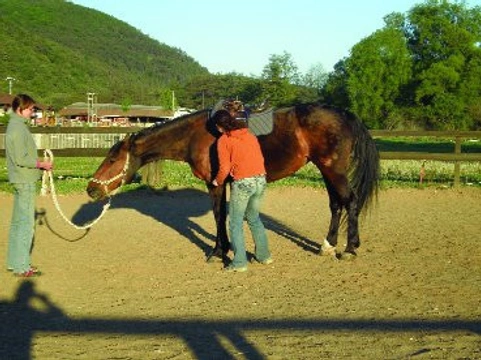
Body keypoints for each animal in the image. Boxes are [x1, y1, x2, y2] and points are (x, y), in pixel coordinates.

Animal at [86, 102, 378, 260]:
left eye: (112, 159)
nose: (91, 189)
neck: (196, 134)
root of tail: (345, 114)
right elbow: (222, 214)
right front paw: (224, 248)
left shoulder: (214, 183)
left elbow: (218, 214)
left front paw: (218, 251)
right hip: (326, 170)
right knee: (336, 204)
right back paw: (327, 245)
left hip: (333, 170)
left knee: (350, 201)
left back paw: (349, 248)